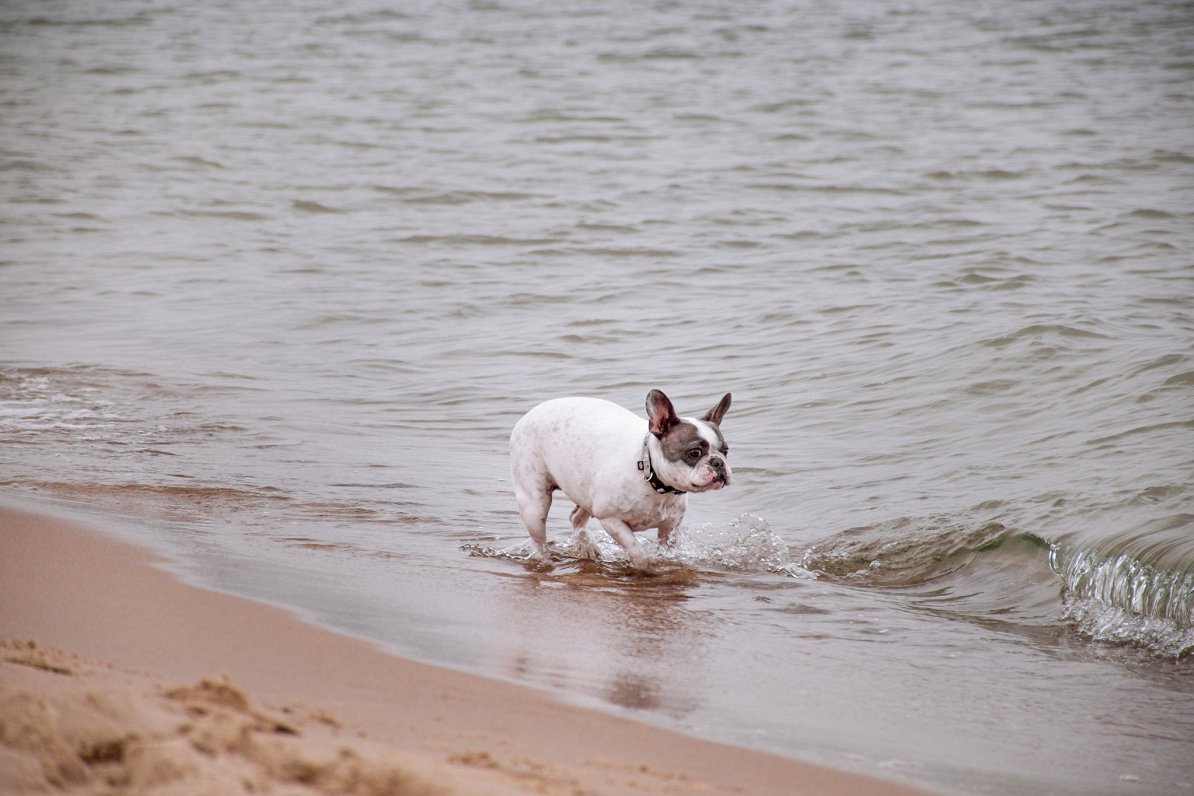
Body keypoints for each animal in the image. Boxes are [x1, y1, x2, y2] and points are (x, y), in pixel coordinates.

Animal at [508, 389, 730, 570]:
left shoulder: (670, 528)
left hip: (586, 492)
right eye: (694, 452)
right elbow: (637, 550)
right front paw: (644, 568)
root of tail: (530, 413)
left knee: (576, 518)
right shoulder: (611, 520)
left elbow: (667, 551)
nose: (718, 462)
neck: (650, 475)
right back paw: (544, 562)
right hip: (535, 504)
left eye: (726, 451)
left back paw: (586, 547)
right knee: (539, 541)